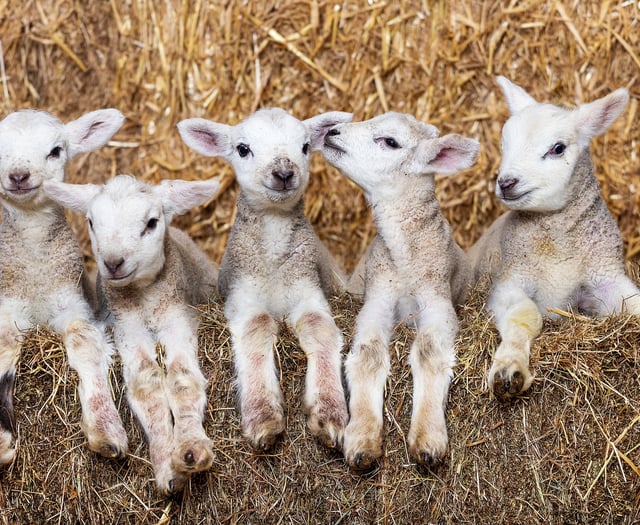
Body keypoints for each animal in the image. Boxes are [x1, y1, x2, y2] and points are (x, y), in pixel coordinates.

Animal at [0, 109, 128, 465]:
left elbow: (83, 341)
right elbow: (4, 347)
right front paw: (2, 439)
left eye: (55, 150)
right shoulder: (7, 303)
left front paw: (105, 429)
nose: (18, 176)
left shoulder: (72, 302)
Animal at [43, 174, 220, 494]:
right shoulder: (127, 326)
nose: (113, 263)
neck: (145, 297)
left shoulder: (177, 316)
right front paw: (167, 466)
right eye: (91, 222)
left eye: (151, 222)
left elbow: (182, 378)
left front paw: (190, 448)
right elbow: (146, 384)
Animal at [177, 108, 353, 452]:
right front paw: (263, 414)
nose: (283, 172)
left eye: (305, 146)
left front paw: (329, 411)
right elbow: (257, 325)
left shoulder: (308, 287)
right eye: (243, 149)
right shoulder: (241, 295)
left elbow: (318, 326)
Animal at [319, 111, 479, 470]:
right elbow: (367, 354)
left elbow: (430, 351)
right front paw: (362, 438)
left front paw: (428, 437)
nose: (331, 132)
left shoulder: (438, 301)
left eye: (390, 141)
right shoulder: (377, 299)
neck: (405, 260)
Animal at [468, 76, 639, 401]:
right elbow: (526, 314)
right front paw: (509, 370)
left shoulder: (606, 277)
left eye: (557, 148)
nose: (506, 183)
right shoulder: (509, 282)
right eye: (504, 144)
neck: (558, 243)